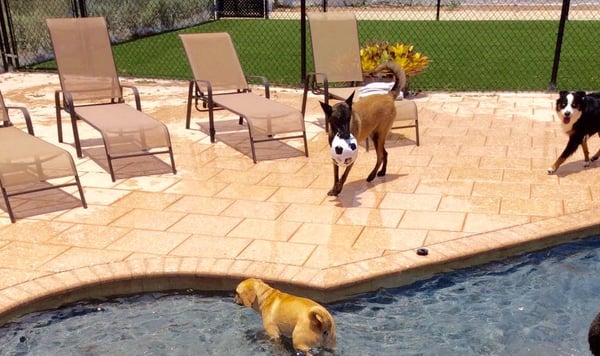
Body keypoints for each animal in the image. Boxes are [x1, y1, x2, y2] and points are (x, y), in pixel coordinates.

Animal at [318, 60, 404, 195]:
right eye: (338, 120)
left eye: (349, 118)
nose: (347, 135)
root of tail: (388, 95)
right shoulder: (334, 158)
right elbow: (336, 175)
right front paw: (334, 188)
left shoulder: (352, 158)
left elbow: (344, 176)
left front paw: (338, 189)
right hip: (376, 136)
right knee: (385, 153)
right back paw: (382, 172)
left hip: (379, 136)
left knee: (380, 156)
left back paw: (371, 175)